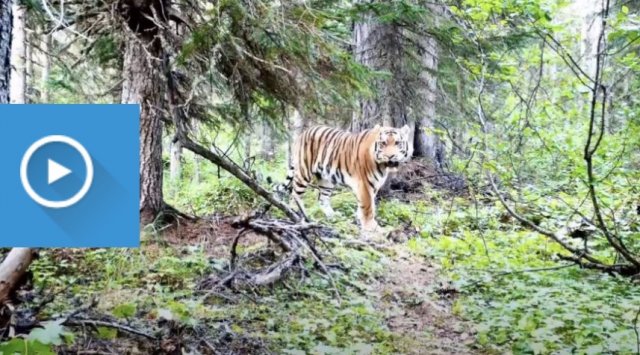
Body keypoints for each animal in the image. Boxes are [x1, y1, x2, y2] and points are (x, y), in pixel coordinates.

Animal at [282, 125, 412, 234]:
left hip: (326, 179)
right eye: (383, 143)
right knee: (295, 194)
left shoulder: (374, 186)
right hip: (303, 172)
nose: (390, 156)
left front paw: (360, 221)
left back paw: (333, 216)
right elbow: (368, 206)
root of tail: (305, 132)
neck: (382, 166)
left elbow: (366, 205)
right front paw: (371, 227)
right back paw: (296, 213)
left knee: (322, 199)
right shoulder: (364, 184)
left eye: (397, 143)